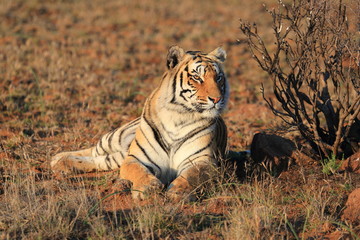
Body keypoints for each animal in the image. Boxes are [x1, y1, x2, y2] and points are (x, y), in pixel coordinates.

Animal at [51, 46, 228, 202]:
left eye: (218, 78)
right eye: (197, 77)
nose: (217, 99)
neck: (179, 117)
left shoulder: (201, 161)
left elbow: (191, 176)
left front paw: (179, 192)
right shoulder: (136, 159)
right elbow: (139, 172)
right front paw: (148, 188)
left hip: (119, 155)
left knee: (100, 160)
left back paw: (61, 163)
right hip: (116, 138)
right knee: (94, 150)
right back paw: (57, 159)